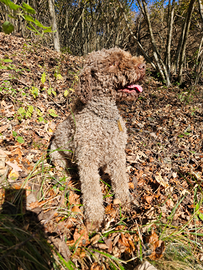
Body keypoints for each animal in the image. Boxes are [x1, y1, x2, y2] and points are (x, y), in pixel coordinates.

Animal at [49, 47, 145, 231]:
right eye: (112, 63)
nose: (143, 66)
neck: (103, 116)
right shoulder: (88, 160)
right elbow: (92, 192)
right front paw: (94, 220)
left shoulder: (118, 154)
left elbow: (121, 180)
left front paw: (125, 201)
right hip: (56, 154)